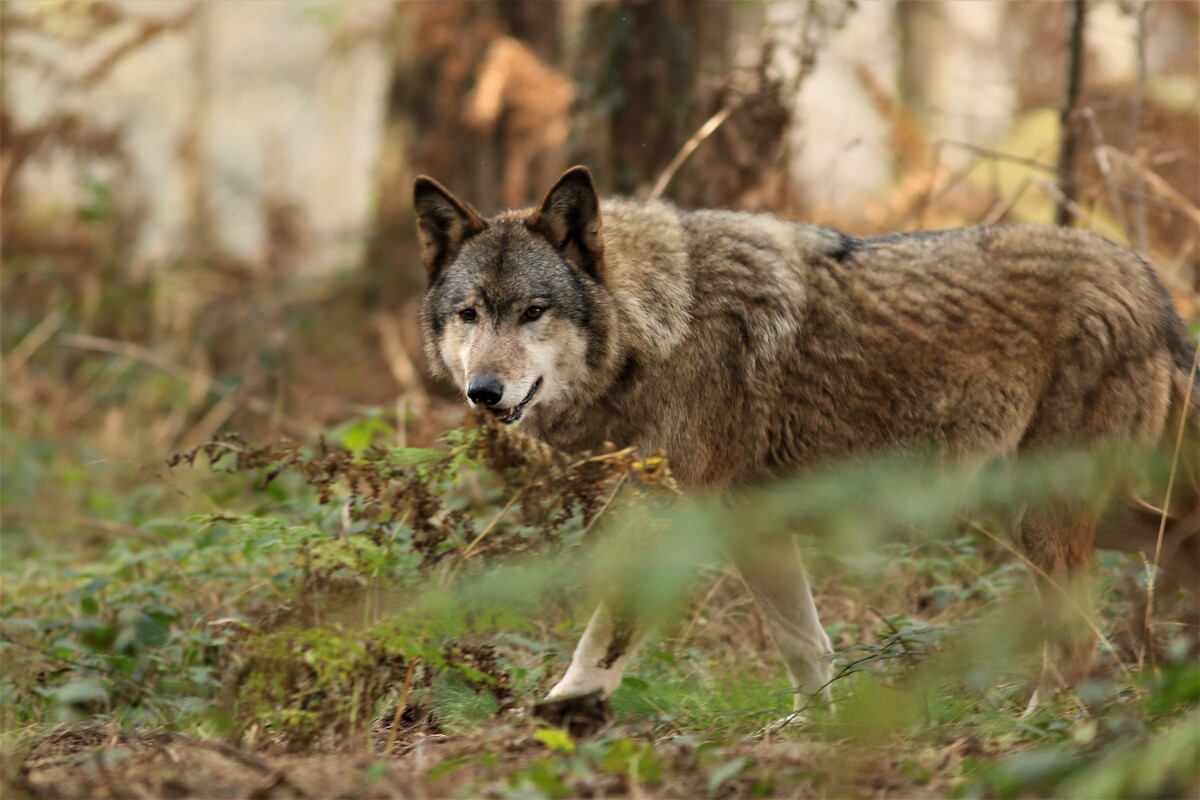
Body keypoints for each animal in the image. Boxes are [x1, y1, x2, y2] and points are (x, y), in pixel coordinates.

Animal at [414, 165, 1199, 723]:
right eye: (470, 314)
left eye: (533, 312)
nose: (483, 391)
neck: (662, 323)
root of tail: (1155, 289)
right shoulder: (751, 526)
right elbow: (806, 647)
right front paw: (807, 737)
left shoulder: (660, 523)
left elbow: (599, 645)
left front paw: (552, 724)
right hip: (1053, 514)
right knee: (1173, 550)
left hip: (1039, 518)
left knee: (1077, 640)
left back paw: (1026, 735)